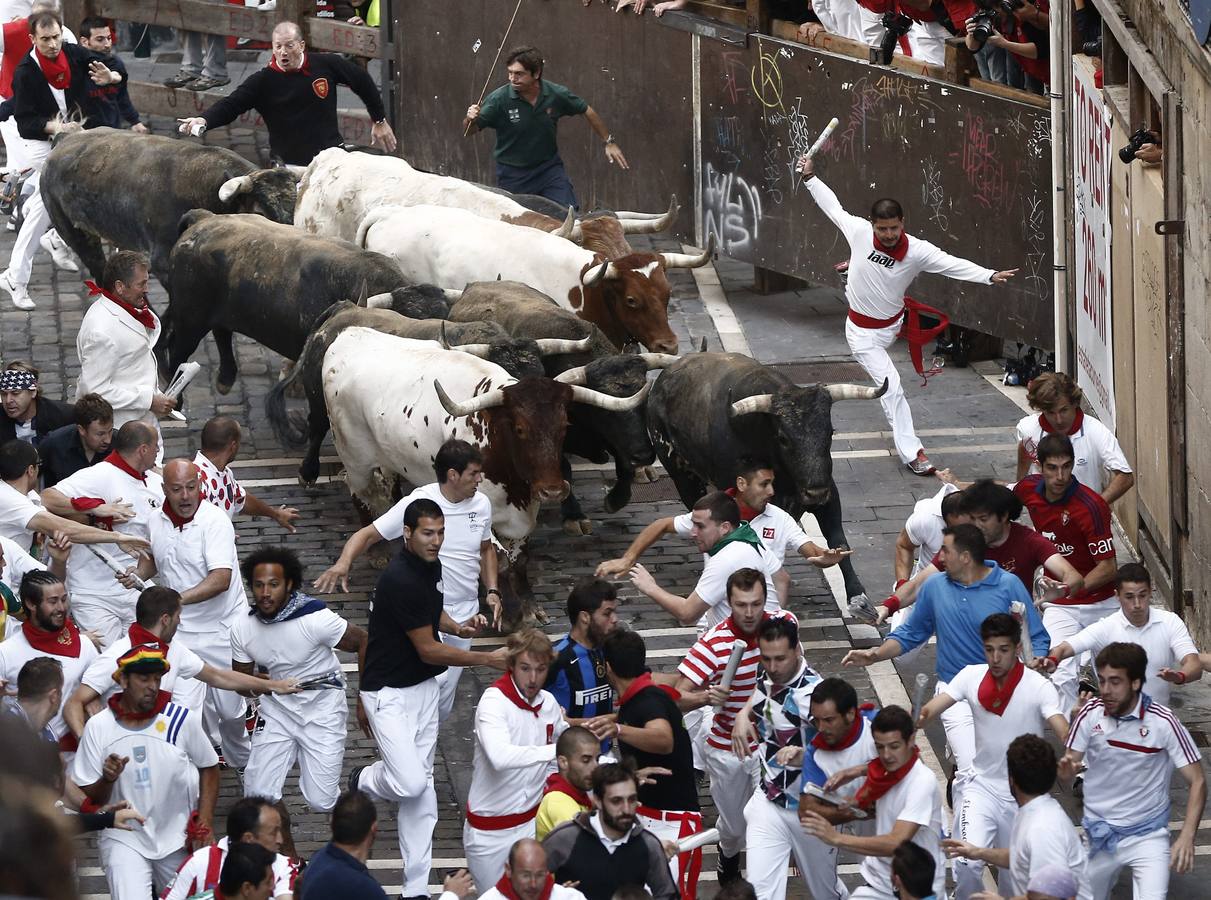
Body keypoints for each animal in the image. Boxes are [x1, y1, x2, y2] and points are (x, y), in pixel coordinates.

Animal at [649, 351, 886, 605]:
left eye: (830, 432)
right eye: (783, 438)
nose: (815, 492)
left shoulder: (829, 494)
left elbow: (838, 540)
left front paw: (858, 597)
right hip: (682, 477)